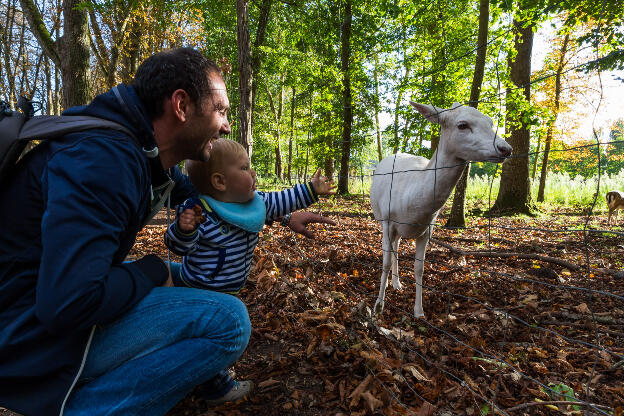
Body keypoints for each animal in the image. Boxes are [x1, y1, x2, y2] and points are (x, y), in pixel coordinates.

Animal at [370, 102, 512, 316]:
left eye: (490, 122)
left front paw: (419, 311)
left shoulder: (427, 229)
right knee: (391, 249)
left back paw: (397, 283)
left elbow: (419, 268)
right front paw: (378, 306)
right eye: (462, 125)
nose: (506, 148)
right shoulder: (387, 221)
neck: (411, 203)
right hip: (382, 219)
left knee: (396, 247)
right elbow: (385, 261)